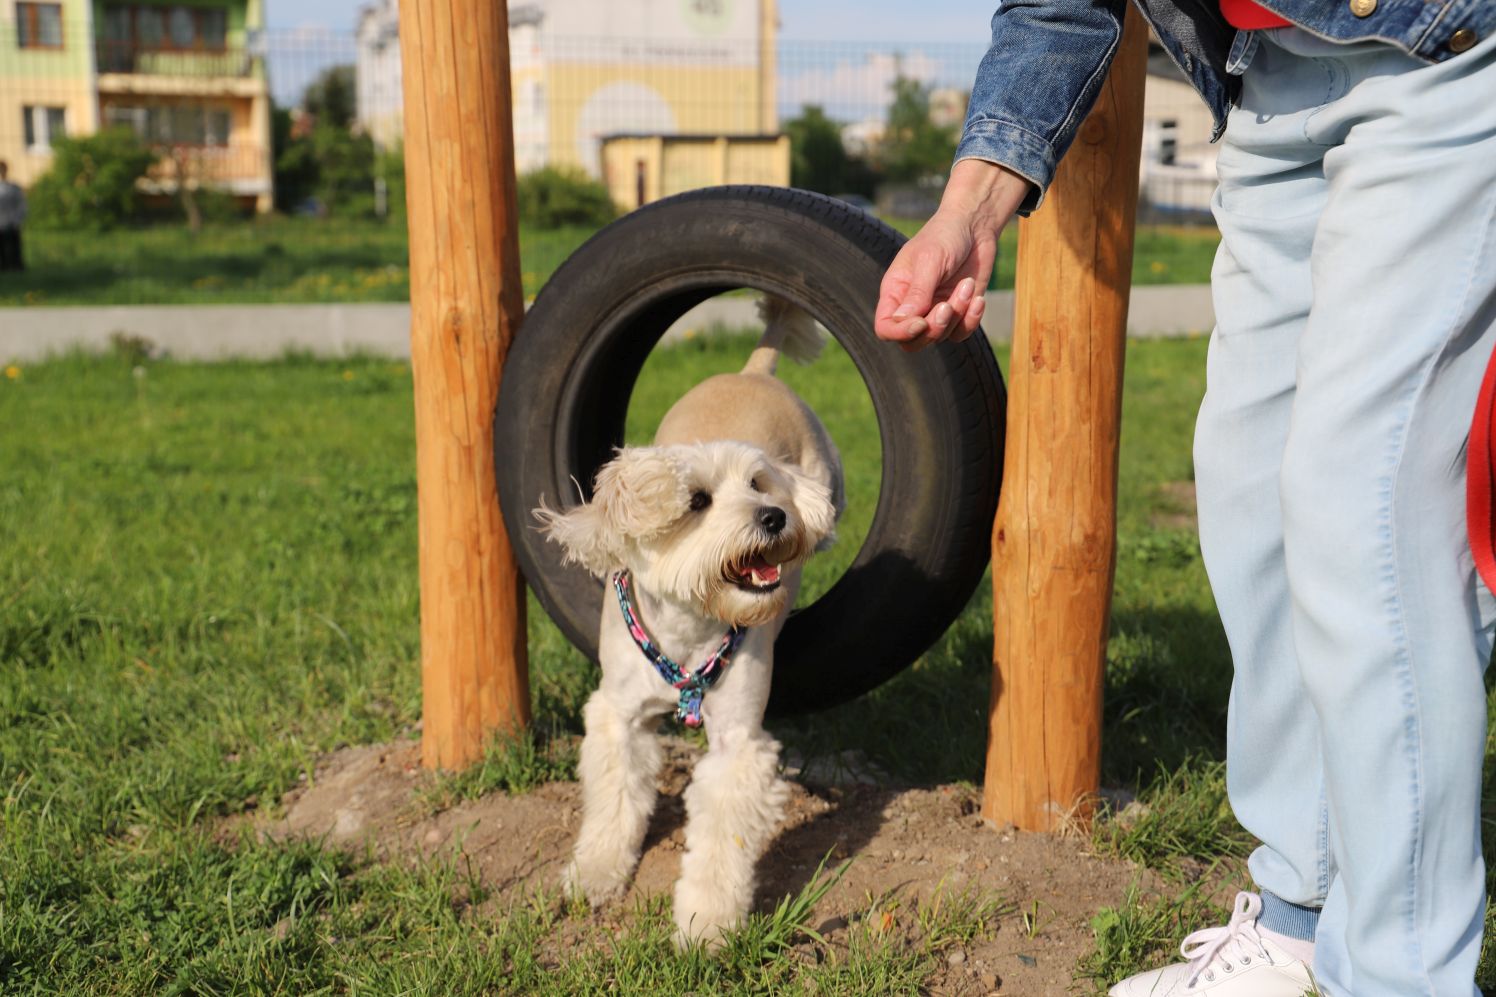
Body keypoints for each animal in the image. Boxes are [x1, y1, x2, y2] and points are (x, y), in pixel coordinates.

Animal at [535, 296, 843, 946]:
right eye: (697, 501)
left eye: (758, 484)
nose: (776, 516)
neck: (690, 627)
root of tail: (752, 370)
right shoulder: (618, 716)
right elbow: (614, 804)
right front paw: (594, 875)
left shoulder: (736, 743)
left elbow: (723, 839)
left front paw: (707, 925)